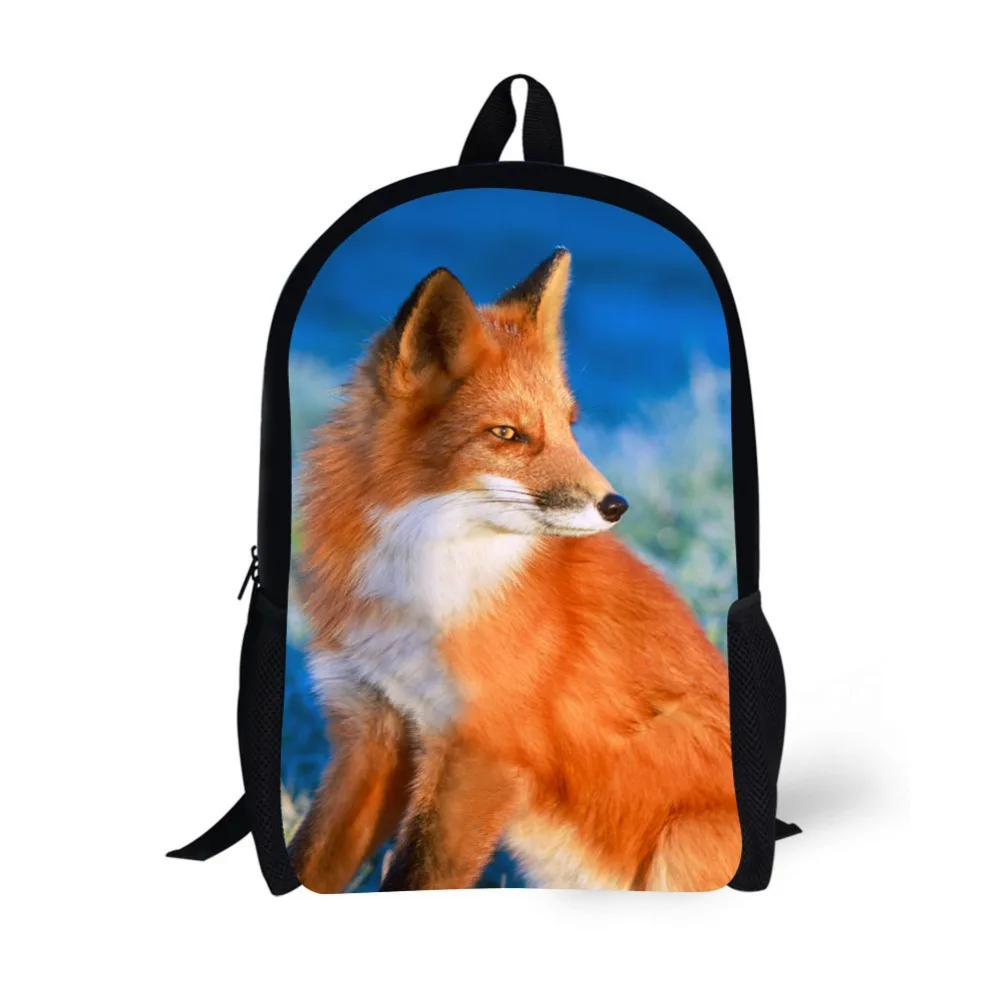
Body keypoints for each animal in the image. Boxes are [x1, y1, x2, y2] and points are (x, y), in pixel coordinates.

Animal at [291, 248, 741, 892]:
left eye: (570, 424)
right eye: (507, 433)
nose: (616, 506)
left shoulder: (483, 755)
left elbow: (415, 877)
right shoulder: (371, 732)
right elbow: (310, 862)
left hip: (681, 846)